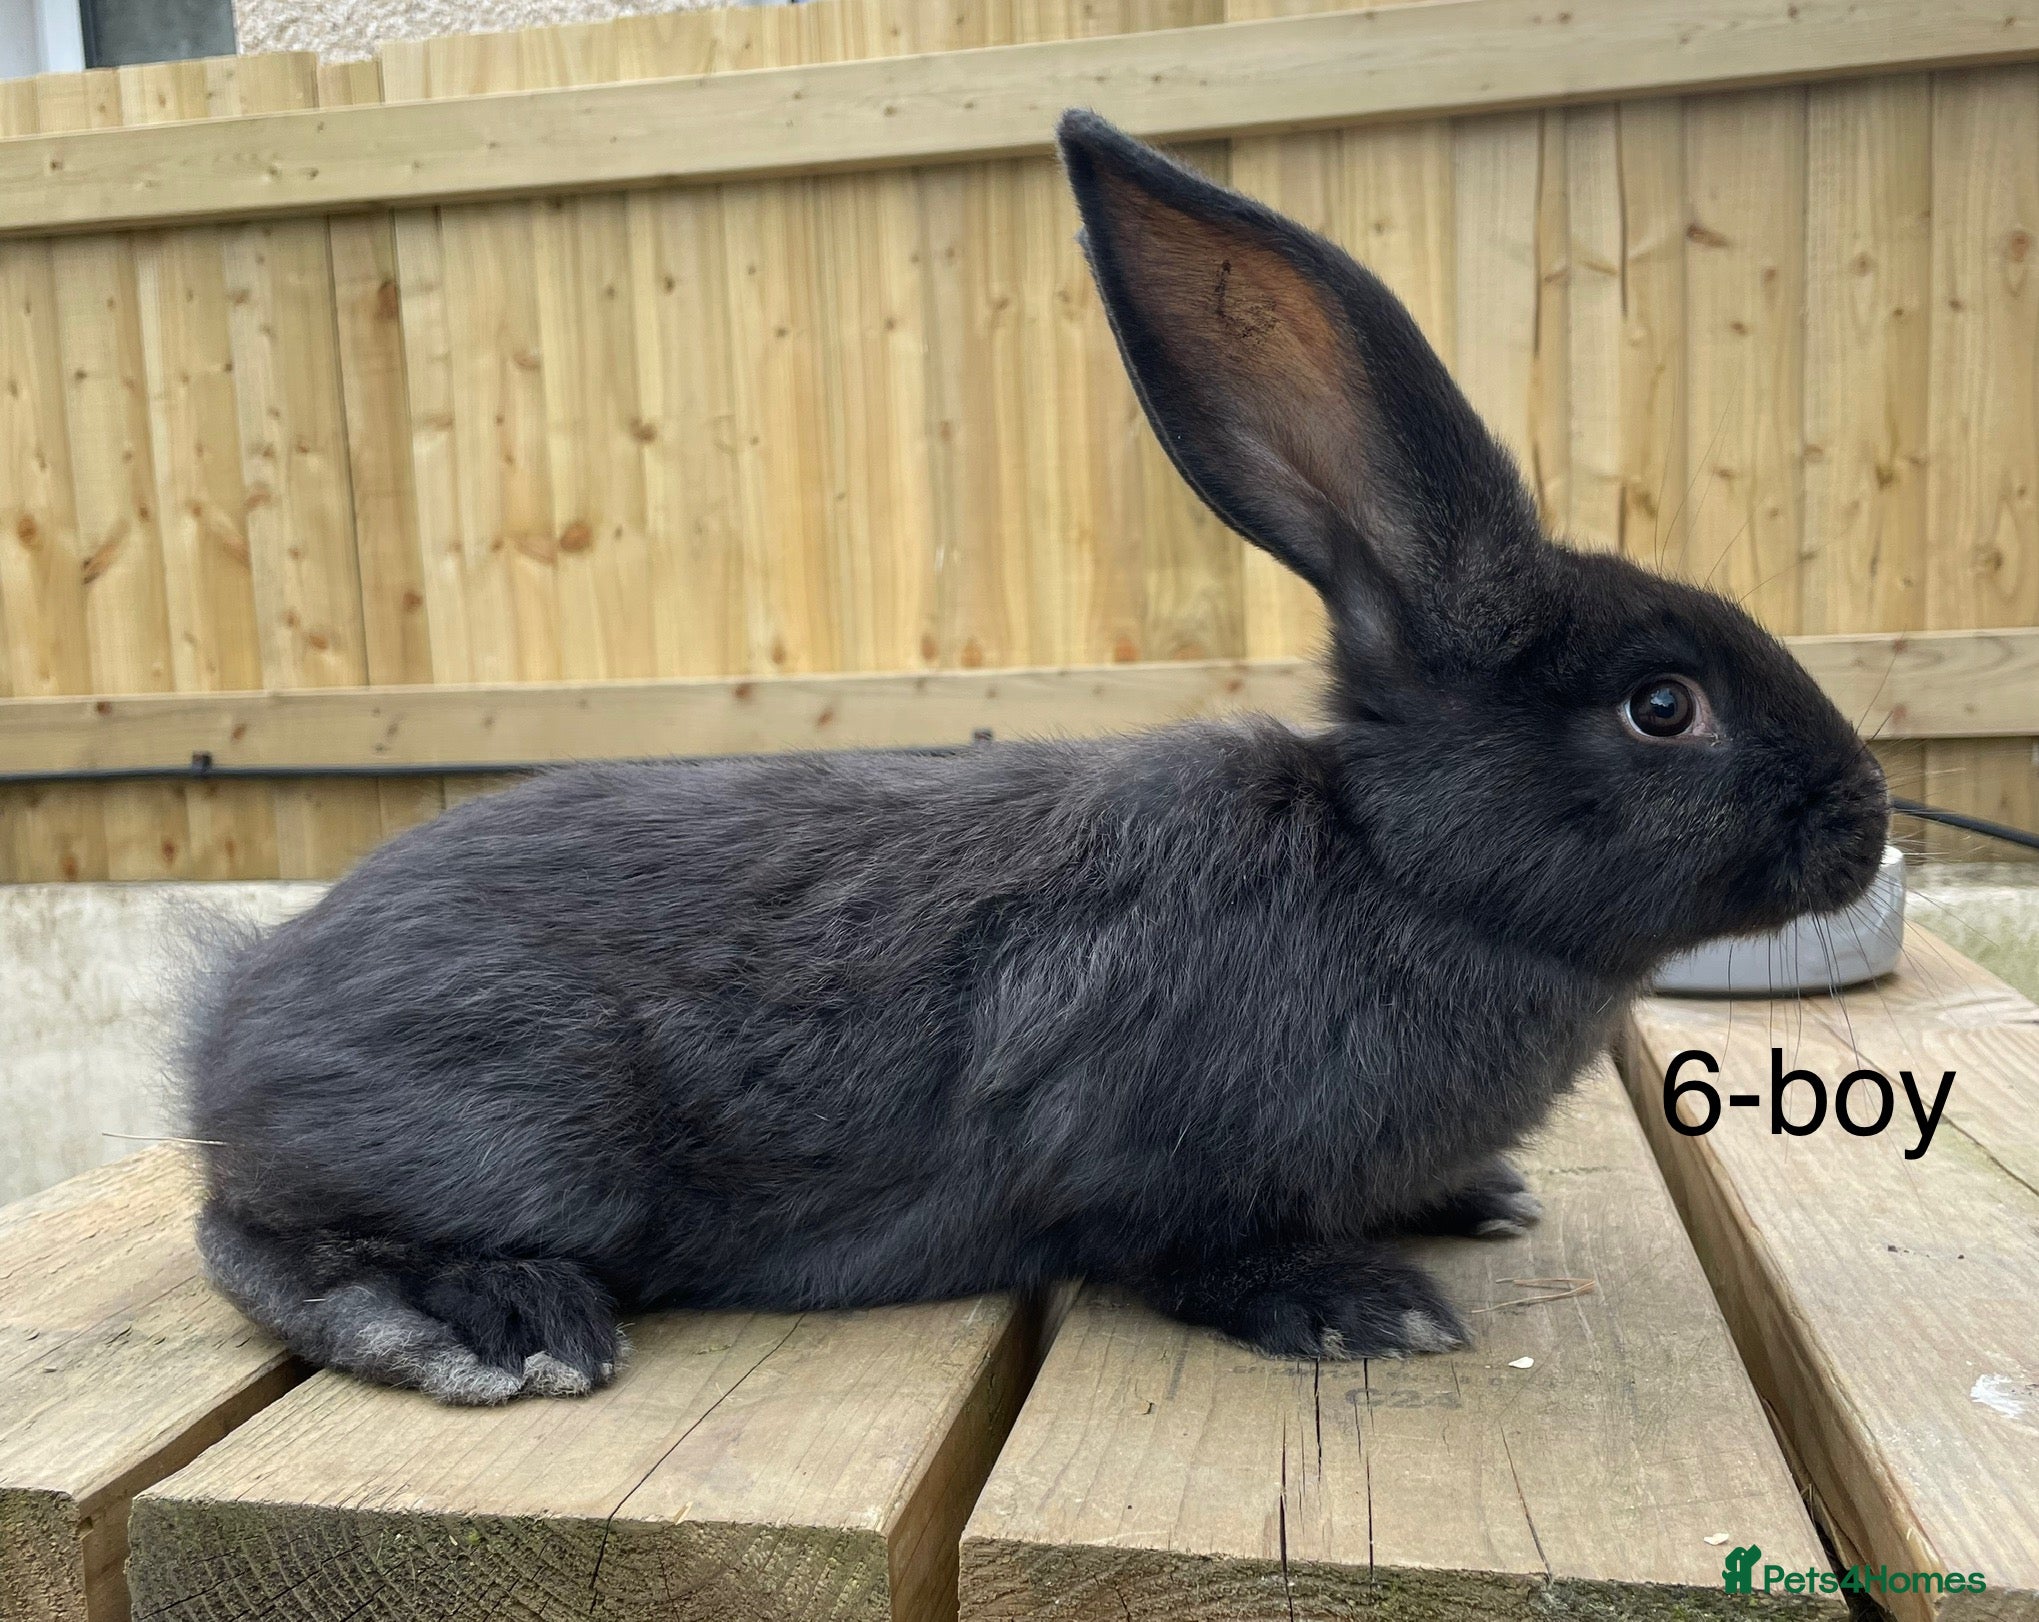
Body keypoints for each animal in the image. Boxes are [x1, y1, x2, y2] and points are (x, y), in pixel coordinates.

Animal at [183, 111, 1889, 1403]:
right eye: (1660, 706)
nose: (1864, 816)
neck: (1401, 871)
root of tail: (233, 1019)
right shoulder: (1138, 1162)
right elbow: (1186, 1252)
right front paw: (1355, 1303)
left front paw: (1474, 1197)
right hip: (522, 1140)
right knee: (249, 1239)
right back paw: (491, 1325)